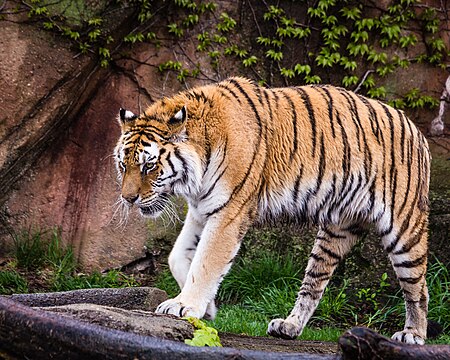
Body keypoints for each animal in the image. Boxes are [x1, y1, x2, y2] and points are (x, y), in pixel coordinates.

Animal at [114, 76, 430, 346]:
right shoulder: (202, 208)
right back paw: (289, 326)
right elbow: (178, 256)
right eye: (122, 165)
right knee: (313, 285)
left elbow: (206, 262)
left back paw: (412, 335)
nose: (128, 198)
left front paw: (184, 305)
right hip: (336, 231)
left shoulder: (228, 211)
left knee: (418, 287)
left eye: (149, 166)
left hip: (404, 229)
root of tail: (417, 131)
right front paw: (208, 309)